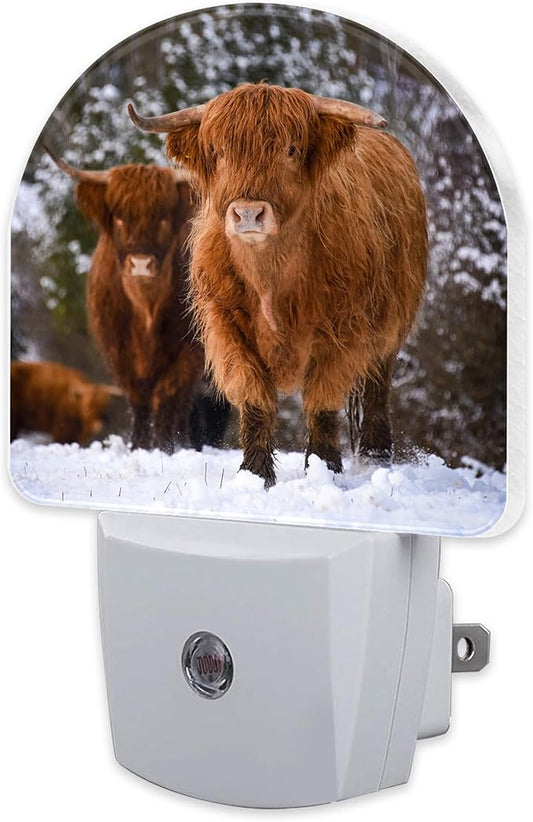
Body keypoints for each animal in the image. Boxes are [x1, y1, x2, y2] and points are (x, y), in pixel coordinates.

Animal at [50, 154, 229, 453]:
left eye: (163, 217)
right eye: (120, 218)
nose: (141, 263)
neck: (146, 308)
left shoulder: (188, 352)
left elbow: (169, 396)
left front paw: (167, 446)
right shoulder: (119, 350)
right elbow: (139, 398)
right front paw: (140, 445)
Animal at [129, 83, 428, 485]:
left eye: (291, 150)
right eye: (219, 152)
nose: (248, 213)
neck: (271, 277)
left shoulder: (343, 332)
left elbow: (322, 401)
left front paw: (324, 468)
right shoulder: (227, 326)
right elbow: (253, 395)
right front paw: (255, 474)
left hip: (390, 326)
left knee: (377, 388)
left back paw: (376, 459)